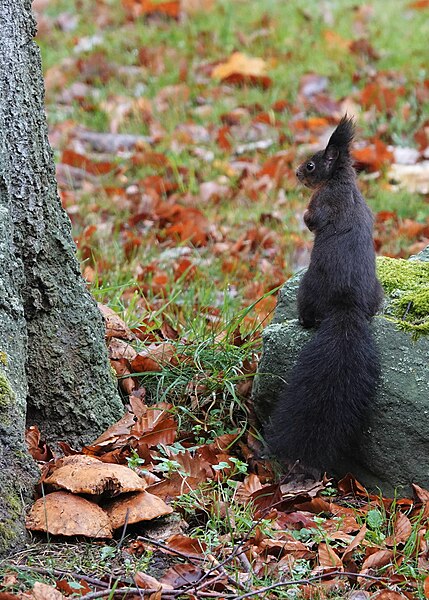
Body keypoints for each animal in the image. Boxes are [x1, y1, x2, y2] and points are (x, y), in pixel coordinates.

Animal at [266, 116, 382, 474]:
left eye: (312, 165)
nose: (296, 173)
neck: (342, 181)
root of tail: (348, 306)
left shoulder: (324, 203)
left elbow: (313, 219)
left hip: (309, 289)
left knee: (308, 313)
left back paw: (301, 320)